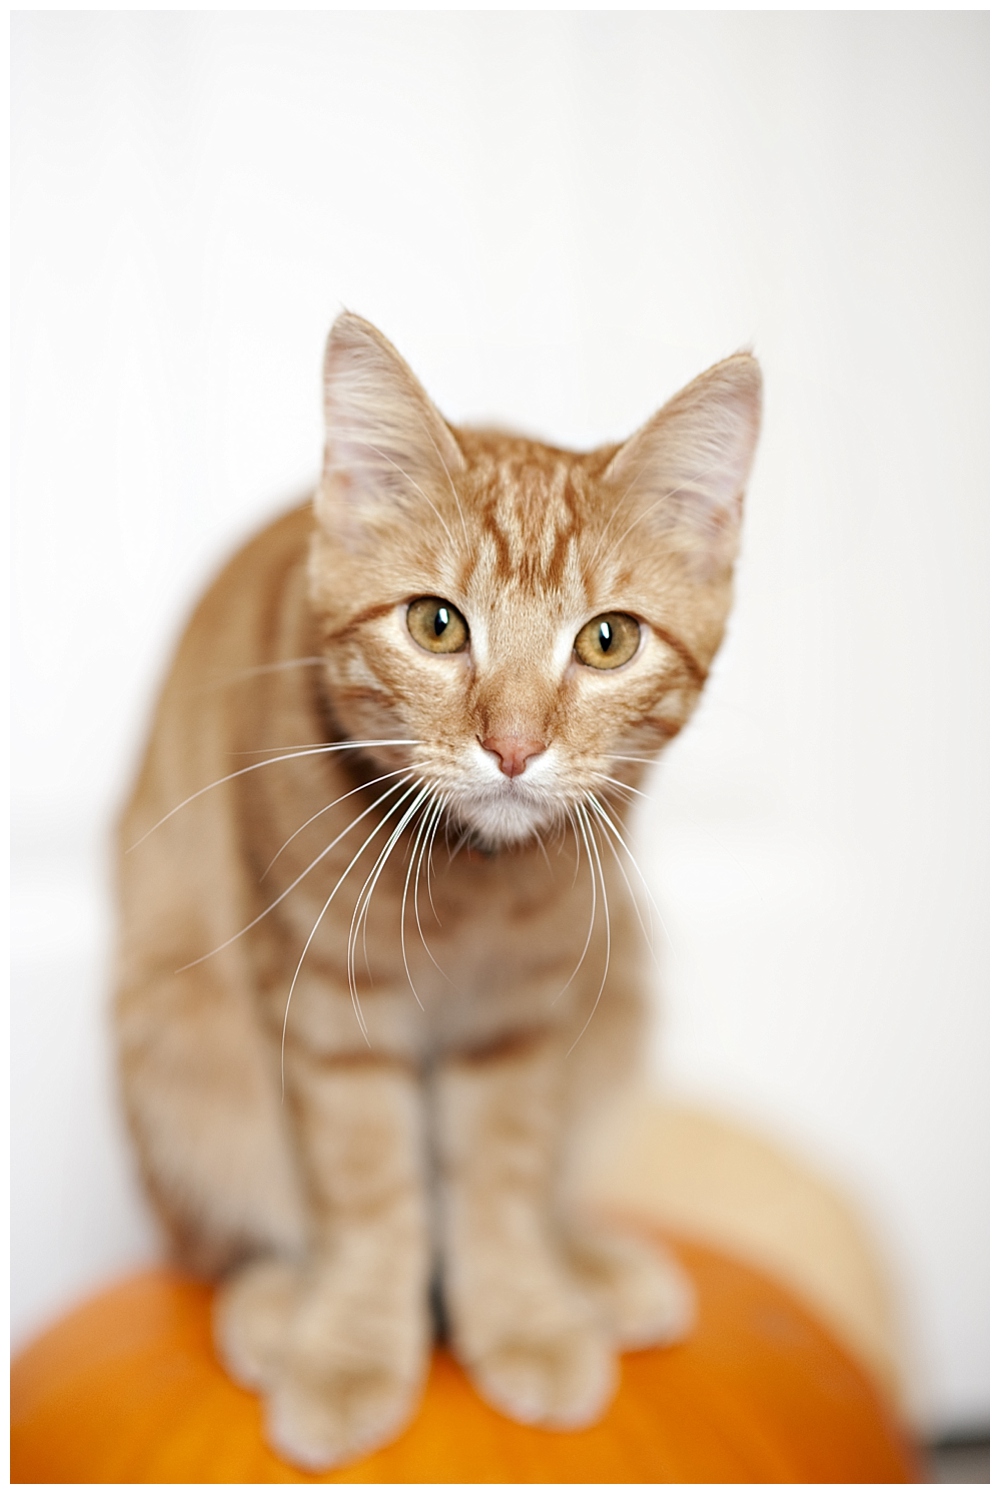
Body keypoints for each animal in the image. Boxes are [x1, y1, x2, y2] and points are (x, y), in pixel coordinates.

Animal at [115, 309, 756, 1464]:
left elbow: (498, 1175)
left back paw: (585, 1266)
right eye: (436, 624)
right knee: (218, 1239)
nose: (513, 746)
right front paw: (351, 1350)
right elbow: (373, 1190)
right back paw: (277, 1303)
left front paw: (528, 1317)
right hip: (171, 1023)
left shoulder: (522, 1015)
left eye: (608, 640)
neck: (471, 892)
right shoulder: (330, 1009)